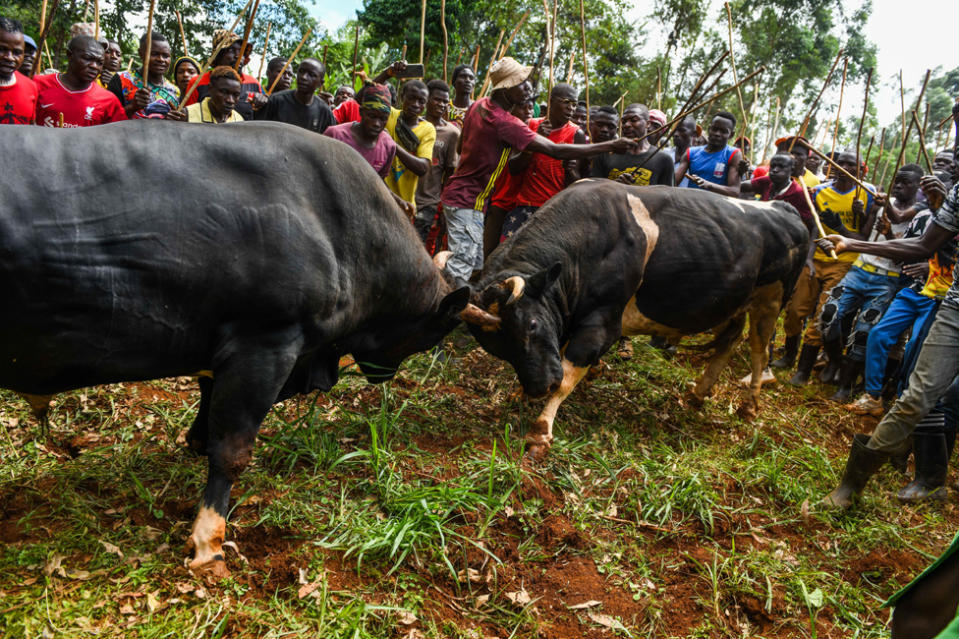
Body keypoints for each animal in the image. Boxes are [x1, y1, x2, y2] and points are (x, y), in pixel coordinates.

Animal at [464, 182, 808, 458]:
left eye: (532, 325)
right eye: (499, 348)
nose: (539, 386)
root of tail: (783, 207)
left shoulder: (602, 323)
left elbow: (568, 374)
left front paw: (540, 429)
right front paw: (520, 393)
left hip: (771, 301)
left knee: (759, 351)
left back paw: (749, 405)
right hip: (733, 303)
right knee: (729, 340)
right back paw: (699, 393)